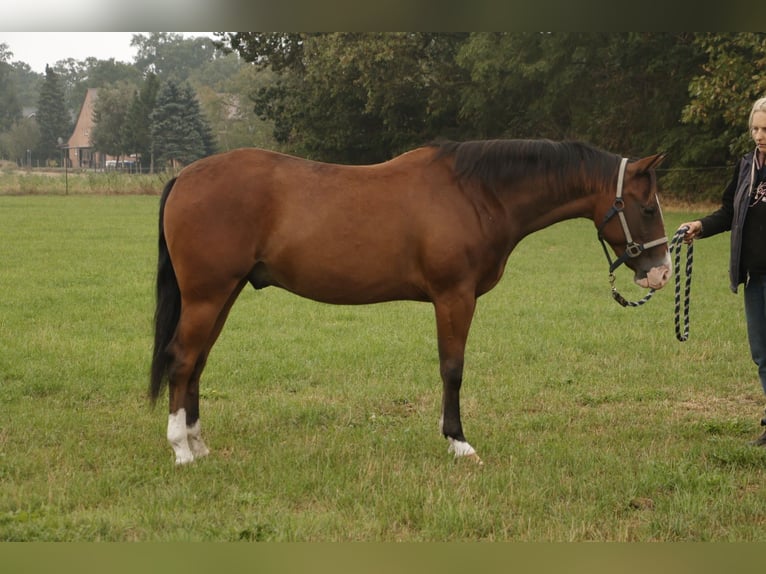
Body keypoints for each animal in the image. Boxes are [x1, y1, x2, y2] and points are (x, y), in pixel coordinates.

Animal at [150, 139, 671, 465]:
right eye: (647, 208)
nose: (662, 272)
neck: (475, 194)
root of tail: (184, 178)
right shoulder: (454, 297)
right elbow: (452, 368)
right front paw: (458, 442)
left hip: (224, 293)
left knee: (197, 362)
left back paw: (198, 443)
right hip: (208, 294)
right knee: (183, 359)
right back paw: (180, 450)